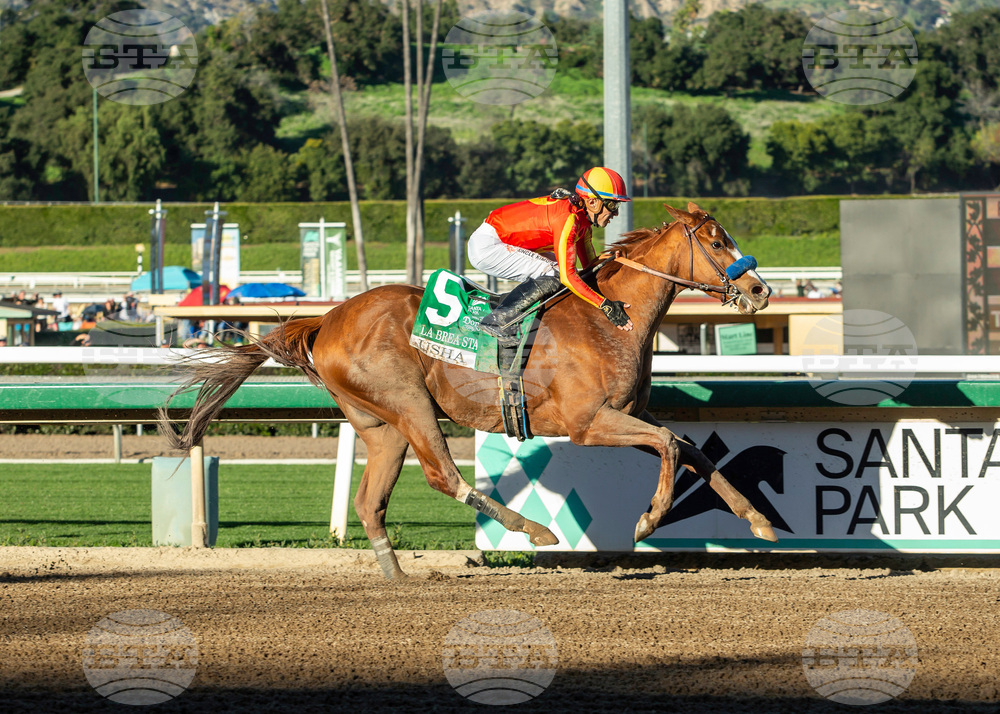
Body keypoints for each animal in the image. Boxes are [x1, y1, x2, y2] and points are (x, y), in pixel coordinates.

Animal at [158, 202, 776, 579]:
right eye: (717, 241)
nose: (760, 290)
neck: (612, 320)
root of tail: (327, 318)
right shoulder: (589, 423)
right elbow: (672, 446)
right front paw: (649, 520)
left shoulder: (627, 417)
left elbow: (692, 449)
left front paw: (757, 519)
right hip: (409, 403)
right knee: (443, 476)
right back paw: (533, 528)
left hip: (380, 425)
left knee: (370, 501)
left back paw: (396, 573)